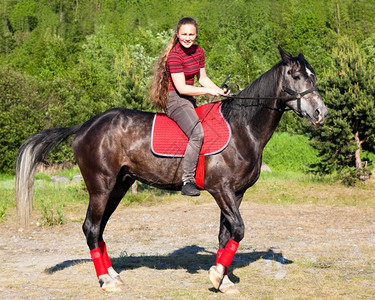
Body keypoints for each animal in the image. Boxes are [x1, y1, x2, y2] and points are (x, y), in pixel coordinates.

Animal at [14, 45, 328, 294]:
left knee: (99, 228)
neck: (243, 128)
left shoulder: (236, 193)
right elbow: (238, 230)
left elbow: (226, 235)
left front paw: (222, 280)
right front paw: (217, 275)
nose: (320, 113)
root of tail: (84, 126)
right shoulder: (221, 190)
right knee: (91, 228)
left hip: (119, 186)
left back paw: (113, 274)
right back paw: (106, 280)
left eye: (313, 76)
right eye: (296, 76)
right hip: (100, 187)